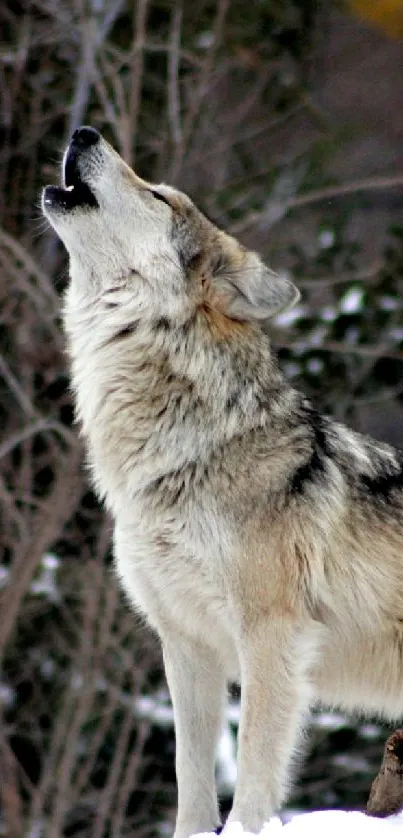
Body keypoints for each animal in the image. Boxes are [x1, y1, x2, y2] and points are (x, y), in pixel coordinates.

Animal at [43, 126, 403, 838]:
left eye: (158, 195)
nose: (84, 132)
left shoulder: (271, 635)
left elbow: (256, 772)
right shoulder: (185, 644)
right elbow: (192, 778)